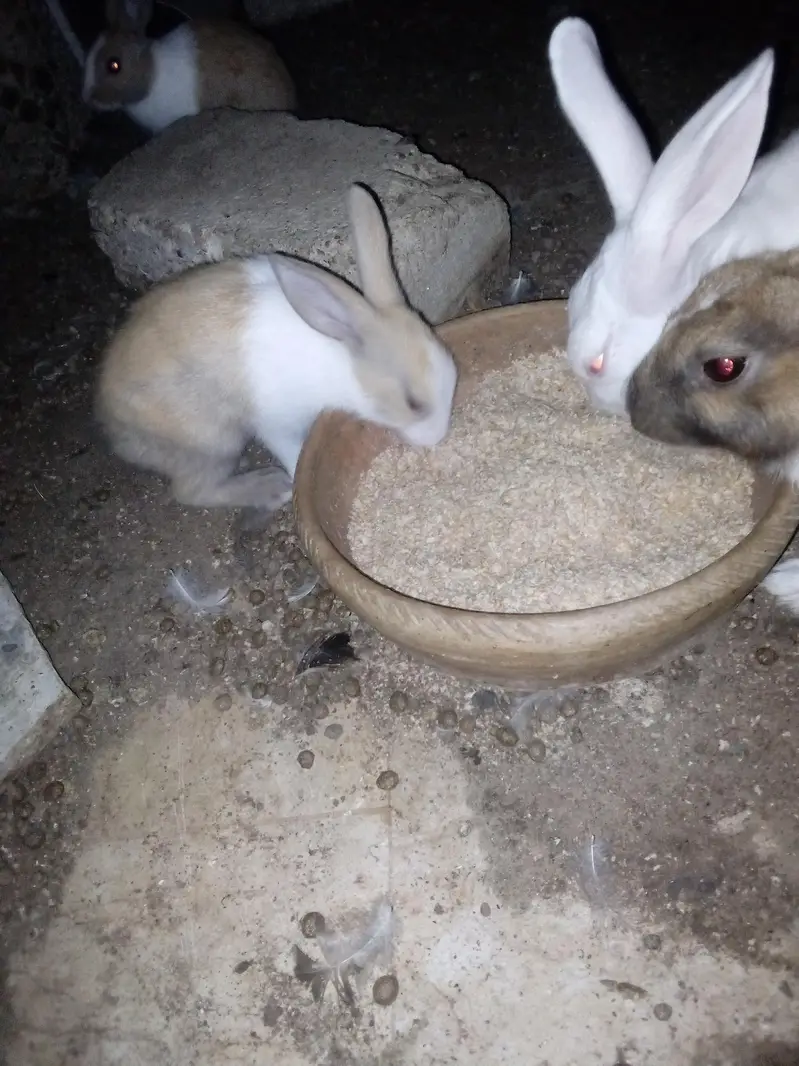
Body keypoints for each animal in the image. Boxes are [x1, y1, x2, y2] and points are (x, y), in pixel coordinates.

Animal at [94, 183, 459, 514]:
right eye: (413, 403)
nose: (437, 437)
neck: (344, 360)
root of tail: (113, 427)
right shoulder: (276, 422)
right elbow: (293, 453)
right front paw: (296, 477)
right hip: (213, 443)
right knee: (191, 491)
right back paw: (270, 487)